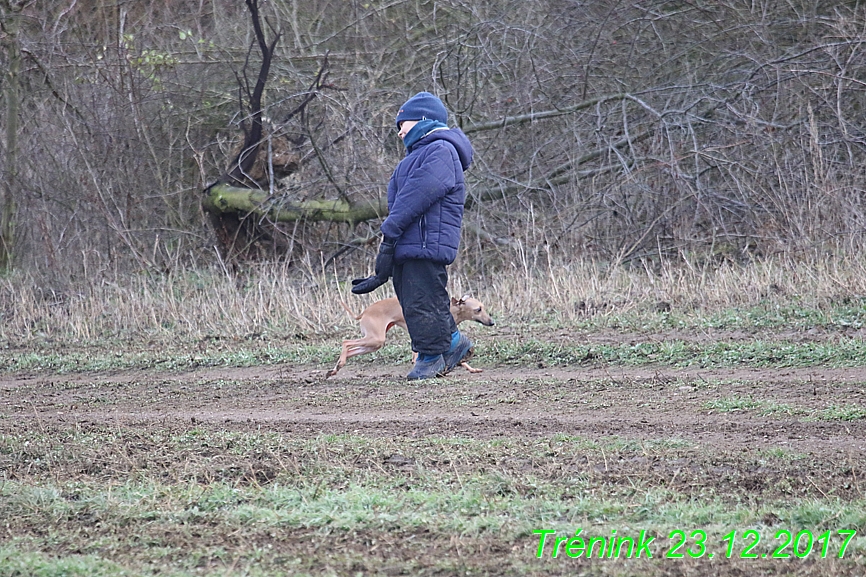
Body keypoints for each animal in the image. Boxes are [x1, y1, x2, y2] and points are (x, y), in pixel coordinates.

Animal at [326, 296, 492, 378]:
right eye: (478, 309)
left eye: (483, 307)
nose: (492, 322)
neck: (451, 308)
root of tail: (364, 312)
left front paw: (472, 368)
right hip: (375, 339)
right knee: (346, 342)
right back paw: (339, 364)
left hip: (374, 343)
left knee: (351, 350)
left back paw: (335, 369)